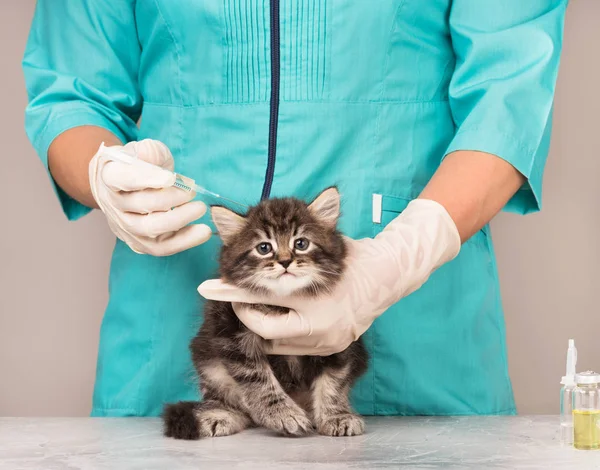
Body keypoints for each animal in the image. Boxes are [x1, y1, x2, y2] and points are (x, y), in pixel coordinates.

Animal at [164, 187, 370, 440]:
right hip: (207, 358)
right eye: (264, 248)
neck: (283, 304)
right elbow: (259, 382)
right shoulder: (231, 333)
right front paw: (283, 414)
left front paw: (336, 416)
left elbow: (334, 382)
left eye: (301, 243)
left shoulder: (337, 339)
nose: (285, 261)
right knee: (231, 400)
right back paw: (221, 415)